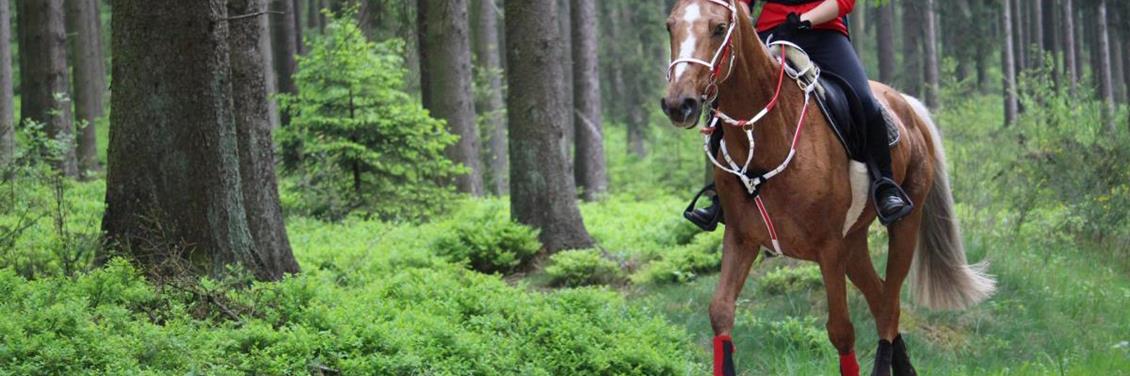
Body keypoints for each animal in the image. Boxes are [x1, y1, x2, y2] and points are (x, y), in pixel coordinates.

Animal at [659, 0, 998, 374]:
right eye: (670, 26)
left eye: (719, 28)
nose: (679, 104)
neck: (768, 135)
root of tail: (906, 104)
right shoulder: (740, 237)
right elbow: (720, 311)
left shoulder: (829, 248)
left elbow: (841, 331)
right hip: (854, 243)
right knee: (880, 300)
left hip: (904, 225)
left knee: (889, 306)